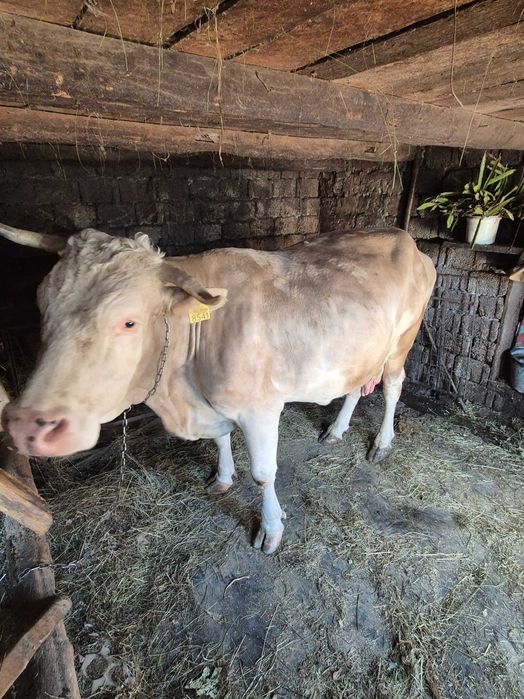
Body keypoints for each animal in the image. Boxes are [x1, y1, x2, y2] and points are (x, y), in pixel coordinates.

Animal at [1, 223, 436, 554]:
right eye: (43, 304)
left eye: (128, 322)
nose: (26, 424)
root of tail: (404, 238)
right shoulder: (212, 405)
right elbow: (221, 439)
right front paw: (223, 478)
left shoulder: (261, 409)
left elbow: (263, 474)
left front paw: (271, 529)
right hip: (360, 350)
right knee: (355, 387)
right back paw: (336, 430)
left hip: (402, 341)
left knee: (392, 386)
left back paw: (382, 443)